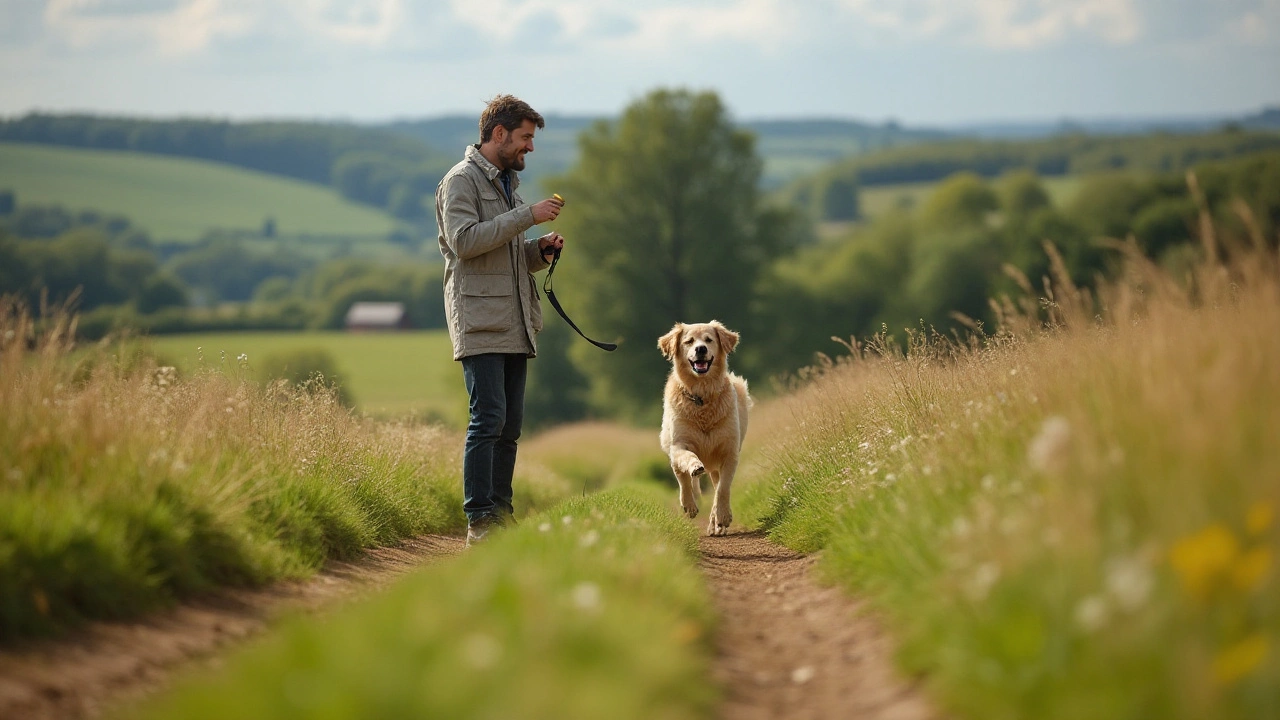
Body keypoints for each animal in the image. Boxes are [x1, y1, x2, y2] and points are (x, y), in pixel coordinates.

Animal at [660, 319, 747, 532]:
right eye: (689, 341)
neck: (702, 396)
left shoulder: (729, 452)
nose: (700, 349)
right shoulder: (678, 444)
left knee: (716, 486)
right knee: (683, 477)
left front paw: (722, 516)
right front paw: (695, 468)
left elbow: (723, 489)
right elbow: (687, 463)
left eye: (708, 340)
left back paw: (717, 524)